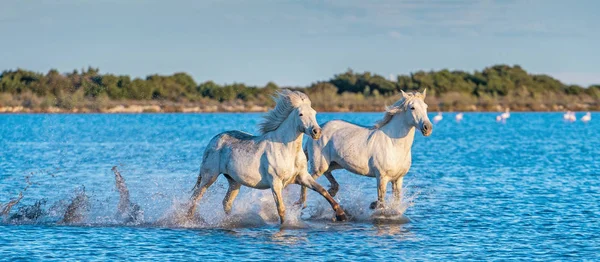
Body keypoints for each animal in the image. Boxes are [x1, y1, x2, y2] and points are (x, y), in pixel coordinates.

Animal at [188, 89, 346, 223]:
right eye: (300, 114)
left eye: (314, 113)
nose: (316, 132)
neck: (287, 150)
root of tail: (214, 140)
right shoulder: (275, 183)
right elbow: (281, 209)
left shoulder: (303, 177)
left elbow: (323, 191)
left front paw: (341, 215)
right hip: (209, 176)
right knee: (195, 198)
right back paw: (191, 220)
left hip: (234, 181)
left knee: (226, 203)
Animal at [298, 90, 432, 211]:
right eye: (412, 108)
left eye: (426, 107)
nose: (427, 128)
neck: (393, 144)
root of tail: (317, 130)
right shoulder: (382, 177)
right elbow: (381, 201)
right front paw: (374, 206)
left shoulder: (398, 179)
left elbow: (396, 202)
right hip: (319, 166)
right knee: (306, 180)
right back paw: (301, 204)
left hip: (335, 164)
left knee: (327, 173)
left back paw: (332, 191)